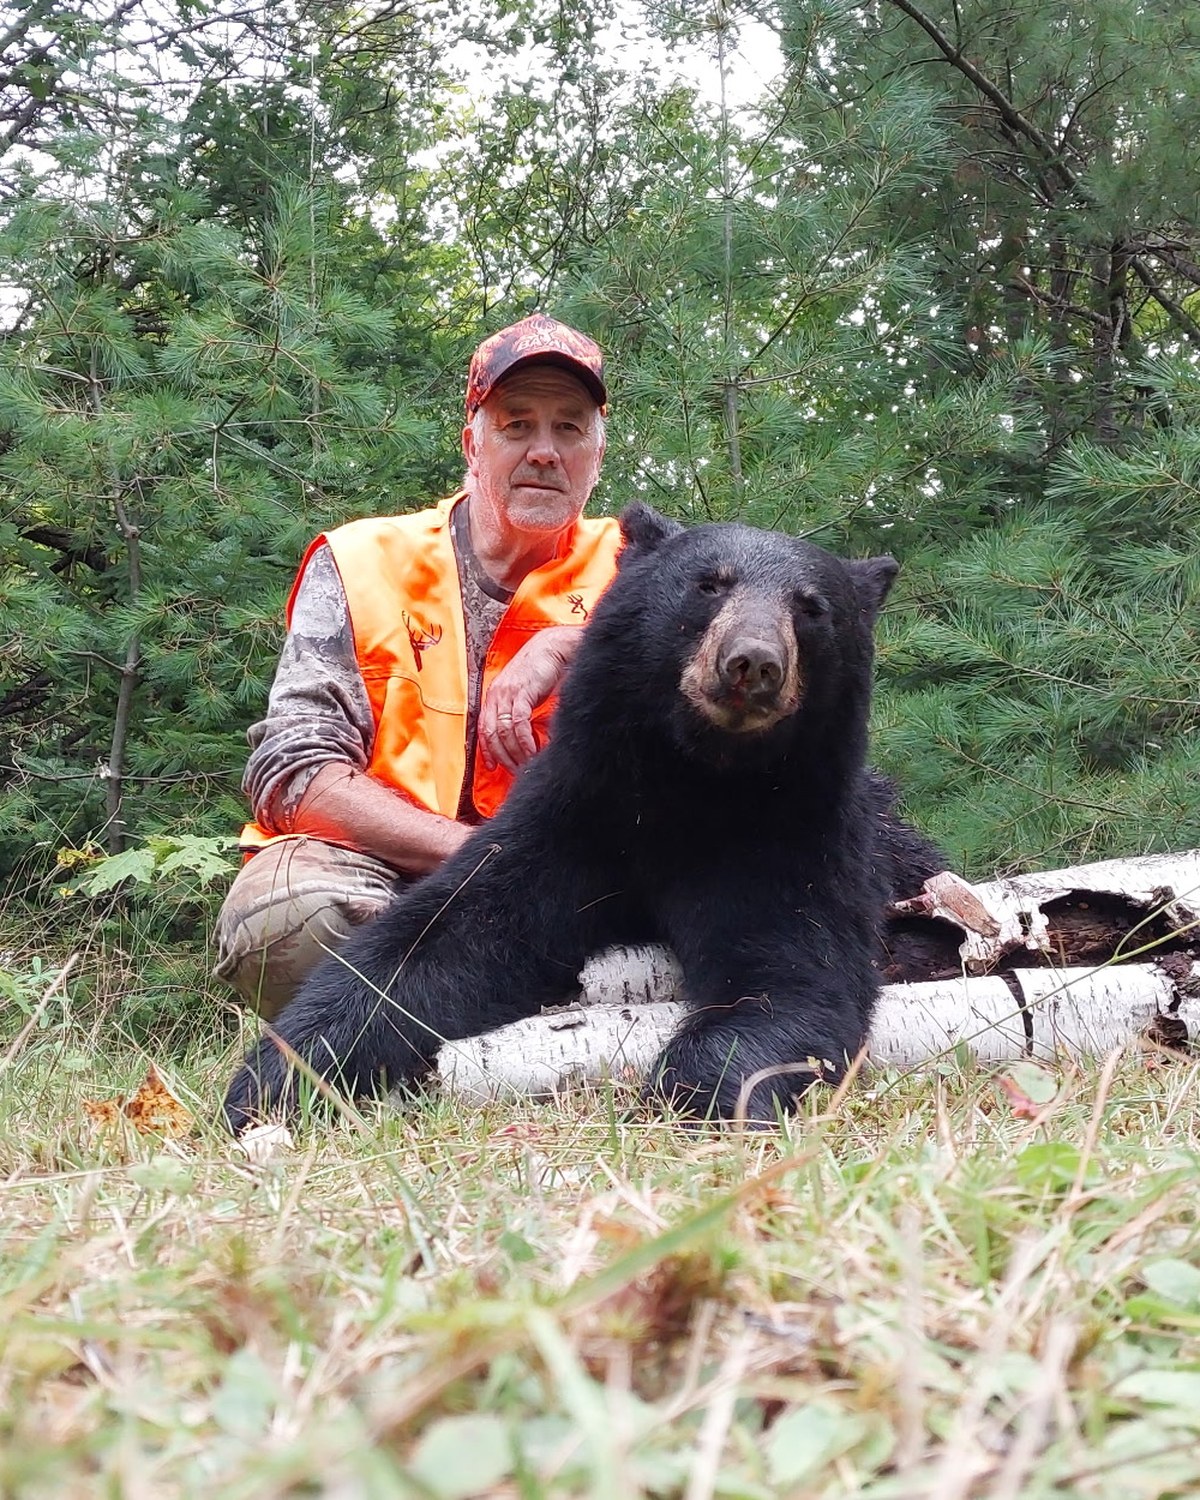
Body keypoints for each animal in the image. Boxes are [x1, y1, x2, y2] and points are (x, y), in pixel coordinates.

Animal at [223, 502, 933, 1131]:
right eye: (709, 583)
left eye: (811, 607)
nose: (753, 662)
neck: (694, 780)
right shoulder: (583, 813)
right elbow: (439, 940)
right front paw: (277, 1076)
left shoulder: (786, 833)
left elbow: (790, 975)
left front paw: (700, 1093)